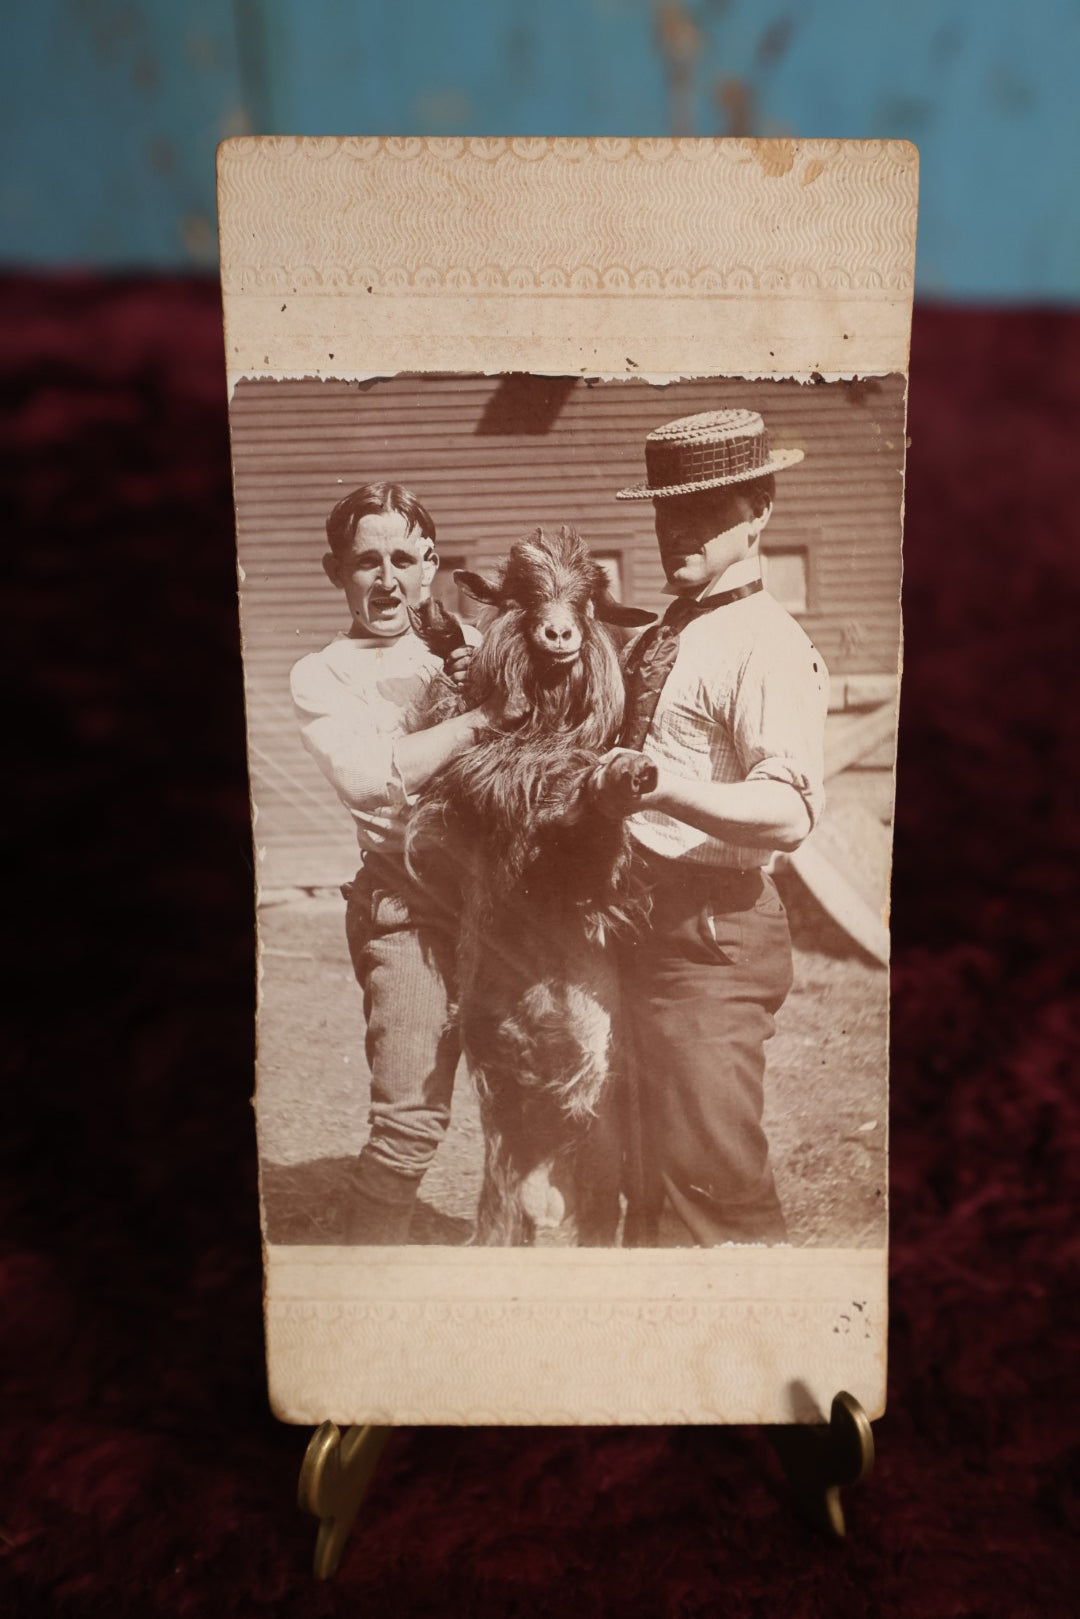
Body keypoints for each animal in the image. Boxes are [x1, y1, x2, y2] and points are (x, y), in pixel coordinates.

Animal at [408, 524, 654, 1243]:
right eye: (520, 593)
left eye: (590, 602)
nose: (558, 634)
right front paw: (440, 631)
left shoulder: (582, 876)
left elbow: (588, 840)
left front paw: (618, 777)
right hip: (507, 1165)